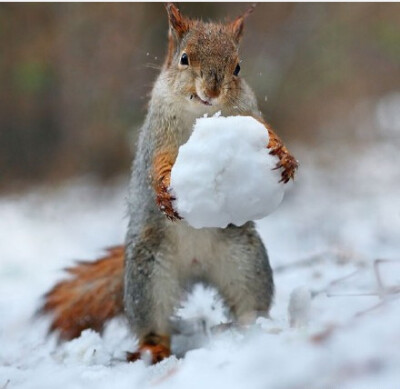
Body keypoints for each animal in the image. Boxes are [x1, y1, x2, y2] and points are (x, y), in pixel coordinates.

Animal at [39, 3, 296, 364]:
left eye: (238, 67)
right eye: (184, 58)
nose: (212, 92)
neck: (201, 115)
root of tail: (196, 265)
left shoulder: (252, 116)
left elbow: (269, 133)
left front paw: (285, 158)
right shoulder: (157, 136)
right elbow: (158, 165)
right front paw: (163, 191)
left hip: (247, 264)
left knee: (250, 304)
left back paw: (255, 332)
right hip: (148, 279)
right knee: (153, 323)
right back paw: (153, 348)